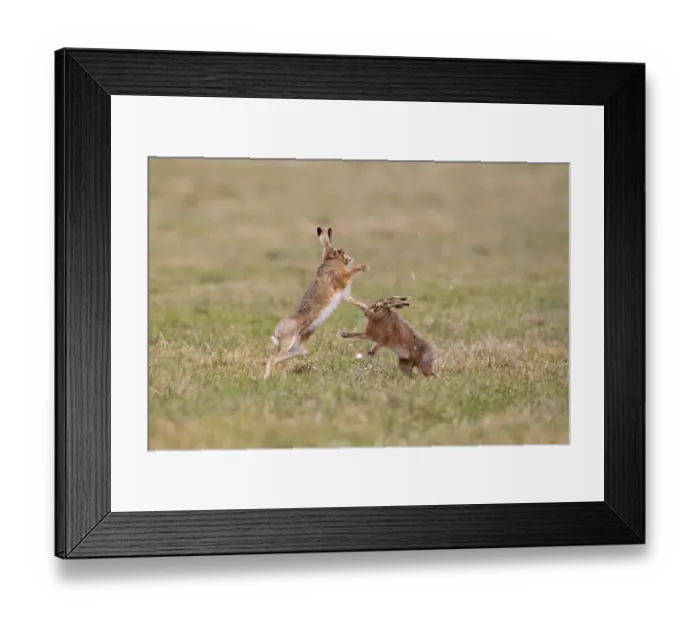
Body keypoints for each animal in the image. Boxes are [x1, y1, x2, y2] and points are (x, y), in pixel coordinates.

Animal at [264, 227, 369, 379]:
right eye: (339, 251)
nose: (350, 259)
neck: (331, 260)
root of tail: (277, 333)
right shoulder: (342, 278)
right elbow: (349, 273)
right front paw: (362, 267)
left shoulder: (344, 295)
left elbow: (354, 301)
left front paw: (367, 309)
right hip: (289, 341)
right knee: (273, 359)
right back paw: (267, 378)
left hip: (298, 349)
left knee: (278, 358)